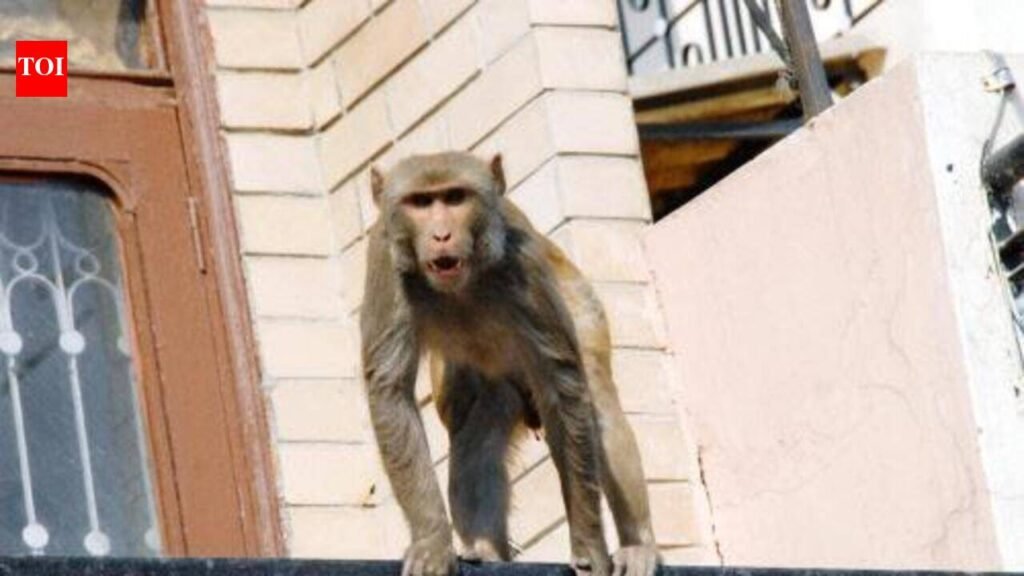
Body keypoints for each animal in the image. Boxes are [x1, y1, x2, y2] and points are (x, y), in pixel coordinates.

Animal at [360, 152, 660, 576]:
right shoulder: (383, 257)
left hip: (582, 305)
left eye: (455, 198)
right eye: (420, 203)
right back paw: (487, 549)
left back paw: (638, 545)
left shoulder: (524, 260)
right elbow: (390, 389)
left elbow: (564, 388)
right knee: (479, 421)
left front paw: (589, 547)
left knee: (596, 402)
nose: (441, 235)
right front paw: (432, 543)